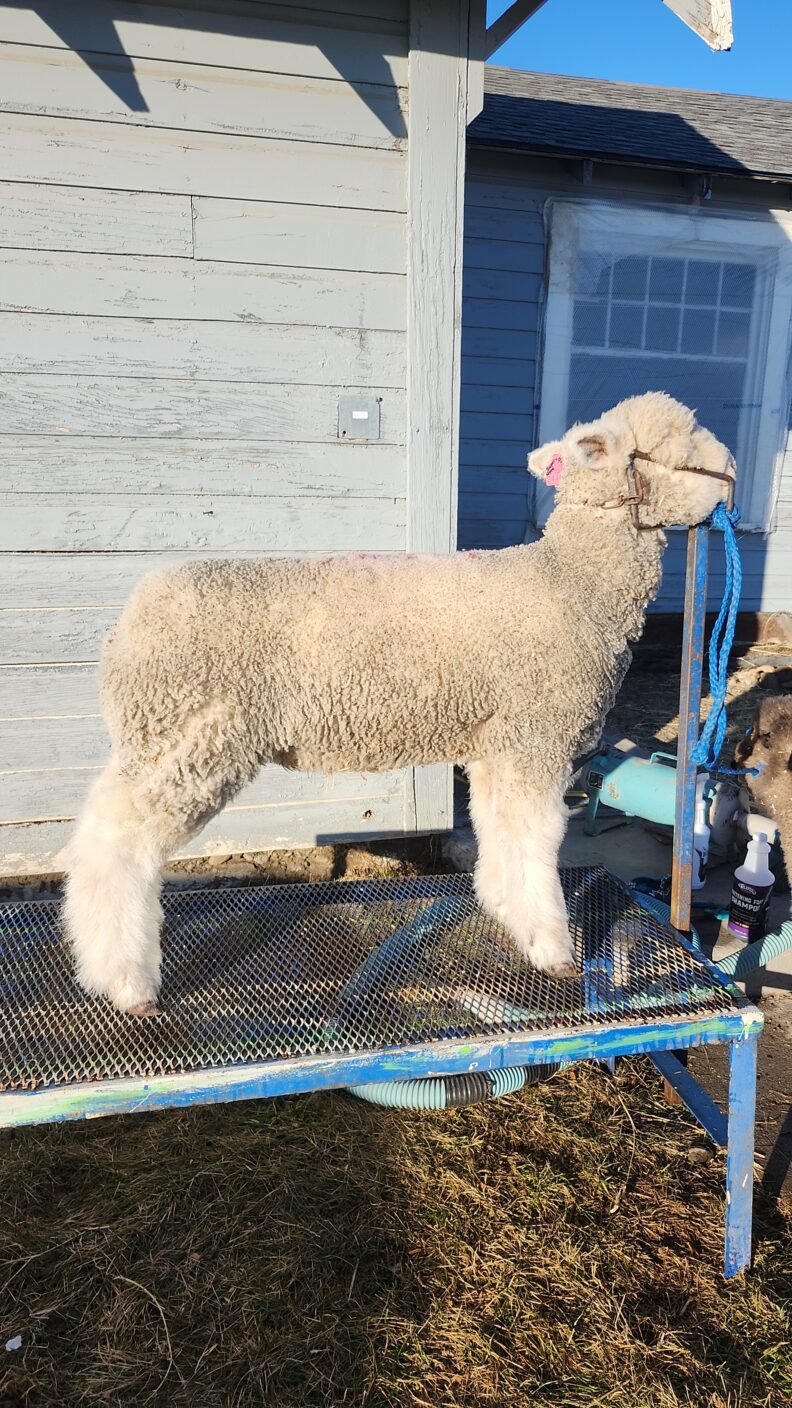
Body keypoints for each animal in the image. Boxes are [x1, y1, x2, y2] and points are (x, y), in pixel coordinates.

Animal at [63, 392, 736, 1013]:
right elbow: (537, 840)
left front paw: (508, 915)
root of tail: (130, 620)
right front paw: (553, 948)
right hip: (192, 737)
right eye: (676, 449)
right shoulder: (536, 736)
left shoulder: (499, 743)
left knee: (100, 824)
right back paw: (125, 982)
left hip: (158, 738)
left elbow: (498, 829)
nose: (731, 470)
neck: (571, 581)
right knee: (114, 843)